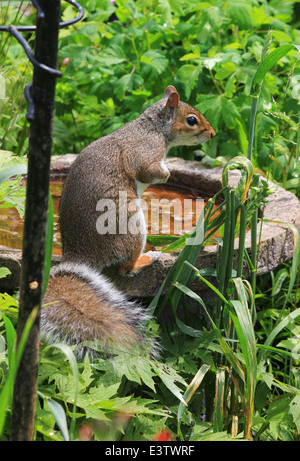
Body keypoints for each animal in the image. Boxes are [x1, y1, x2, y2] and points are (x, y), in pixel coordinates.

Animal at [41, 84, 216, 354]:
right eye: (191, 120)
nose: (213, 133)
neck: (153, 128)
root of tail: (80, 255)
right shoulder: (144, 151)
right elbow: (148, 170)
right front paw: (167, 173)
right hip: (130, 223)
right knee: (126, 269)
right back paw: (147, 258)